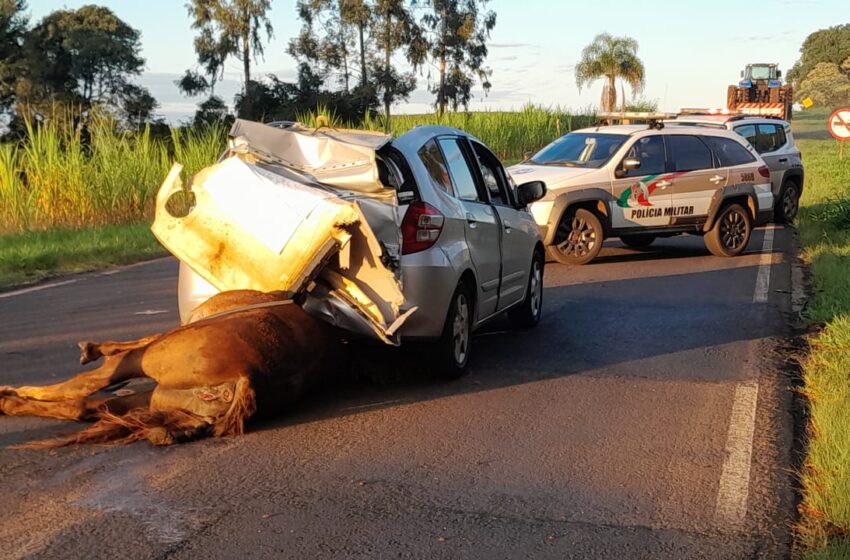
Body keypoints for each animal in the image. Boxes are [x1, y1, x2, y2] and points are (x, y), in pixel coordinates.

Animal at [0, 290, 340, 448]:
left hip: (150, 359)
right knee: (88, 405)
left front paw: (92, 350)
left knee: (86, 385)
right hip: (163, 397)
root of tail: (249, 377)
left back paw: (9, 395)